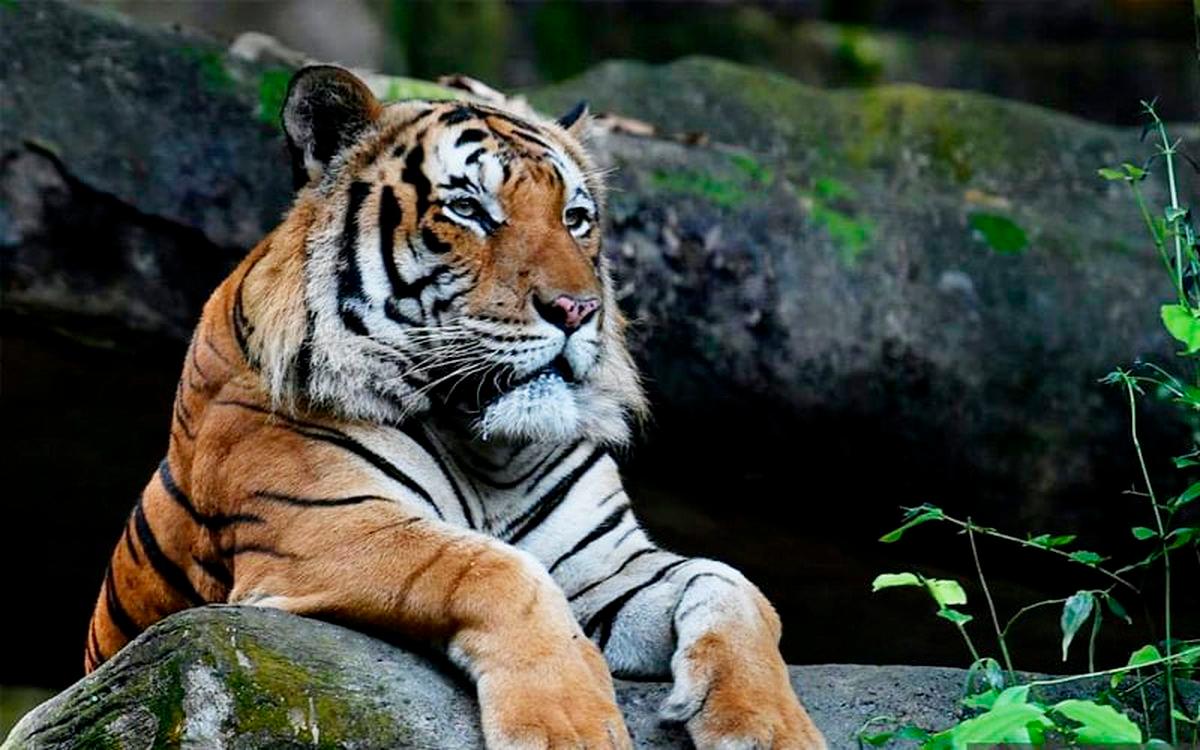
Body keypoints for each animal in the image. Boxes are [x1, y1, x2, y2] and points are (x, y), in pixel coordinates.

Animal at [84, 65, 826, 749]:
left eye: (575, 219)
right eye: (469, 210)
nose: (577, 310)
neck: (488, 448)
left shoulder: (605, 562)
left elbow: (732, 584)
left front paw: (772, 728)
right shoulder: (326, 526)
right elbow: (498, 569)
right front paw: (570, 728)